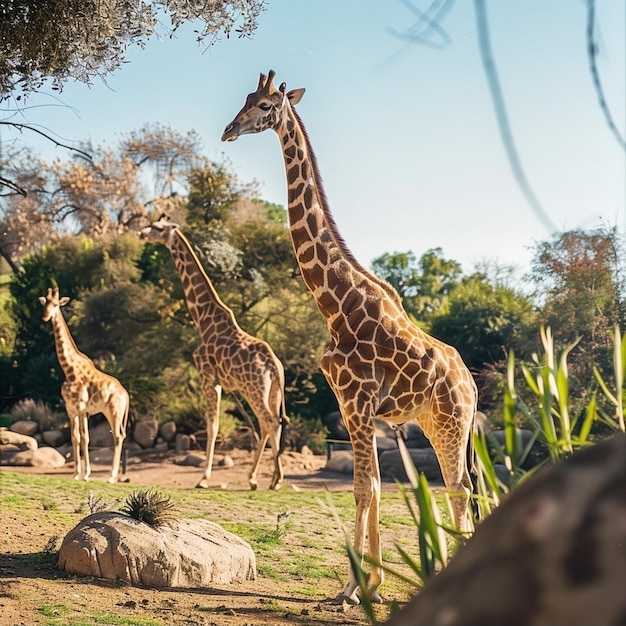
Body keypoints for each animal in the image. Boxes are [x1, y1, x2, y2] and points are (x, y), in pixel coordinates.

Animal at [39, 288, 129, 482]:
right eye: (44, 303)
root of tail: (126, 395)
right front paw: (75, 474)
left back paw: (111, 477)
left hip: (114, 411)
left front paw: (86, 474)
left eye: (55, 304)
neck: (69, 370)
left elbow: (85, 438)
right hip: (108, 411)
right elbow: (75, 438)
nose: (45, 316)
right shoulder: (71, 409)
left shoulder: (81, 408)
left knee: (118, 436)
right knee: (120, 435)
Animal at [139, 217, 288, 490]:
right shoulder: (219, 382)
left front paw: (203, 479)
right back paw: (257, 479)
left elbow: (212, 426)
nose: (141, 233)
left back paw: (275, 480)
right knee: (270, 424)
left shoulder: (208, 378)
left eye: (157, 227)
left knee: (270, 422)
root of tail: (274, 366)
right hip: (272, 392)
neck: (202, 319)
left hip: (253, 389)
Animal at [222, 70, 476, 604]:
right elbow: (374, 486)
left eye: (263, 106)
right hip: (434, 422)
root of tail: (472, 384)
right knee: (457, 486)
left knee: (460, 487)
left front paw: (351, 589)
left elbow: (363, 488)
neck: (336, 304)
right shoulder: (354, 407)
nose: (228, 130)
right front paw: (372, 584)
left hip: (452, 423)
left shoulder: (357, 403)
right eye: (246, 99)